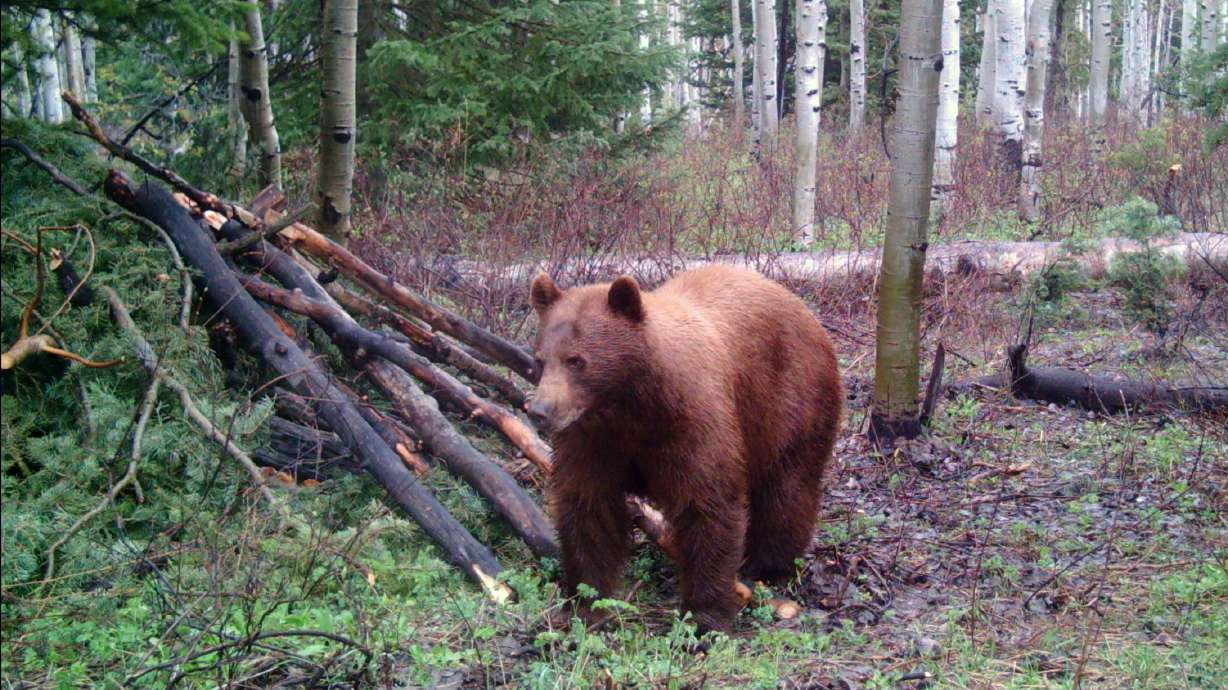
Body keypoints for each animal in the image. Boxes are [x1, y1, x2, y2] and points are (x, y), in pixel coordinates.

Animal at [527, 265, 842, 633]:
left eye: (576, 361)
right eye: (540, 359)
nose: (540, 410)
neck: (631, 406)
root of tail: (803, 308)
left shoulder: (692, 424)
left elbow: (706, 504)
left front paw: (706, 616)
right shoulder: (594, 440)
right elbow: (588, 507)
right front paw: (586, 603)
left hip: (791, 401)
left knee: (787, 489)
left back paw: (770, 564)